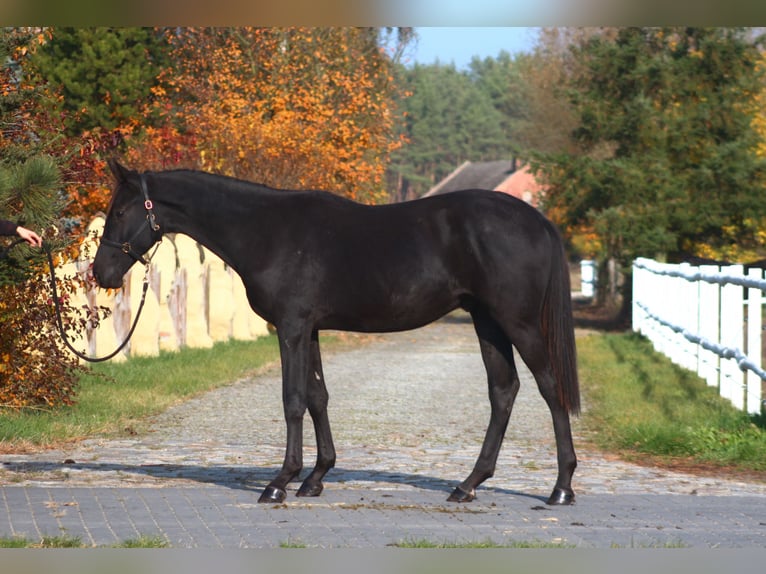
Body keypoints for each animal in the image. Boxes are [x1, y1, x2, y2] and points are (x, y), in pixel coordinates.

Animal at [93, 160, 580, 506]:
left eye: (121, 210)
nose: (101, 273)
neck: (266, 230)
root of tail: (537, 220)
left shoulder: (290, 327)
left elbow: (292, 401)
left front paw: (279, 482)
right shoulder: (308, 329)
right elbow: (317, 397)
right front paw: (316, 477)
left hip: (517, 322)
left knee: (549, 387)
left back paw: (561, 488)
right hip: (487, 322)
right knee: (503, 391)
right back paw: (468, 484)